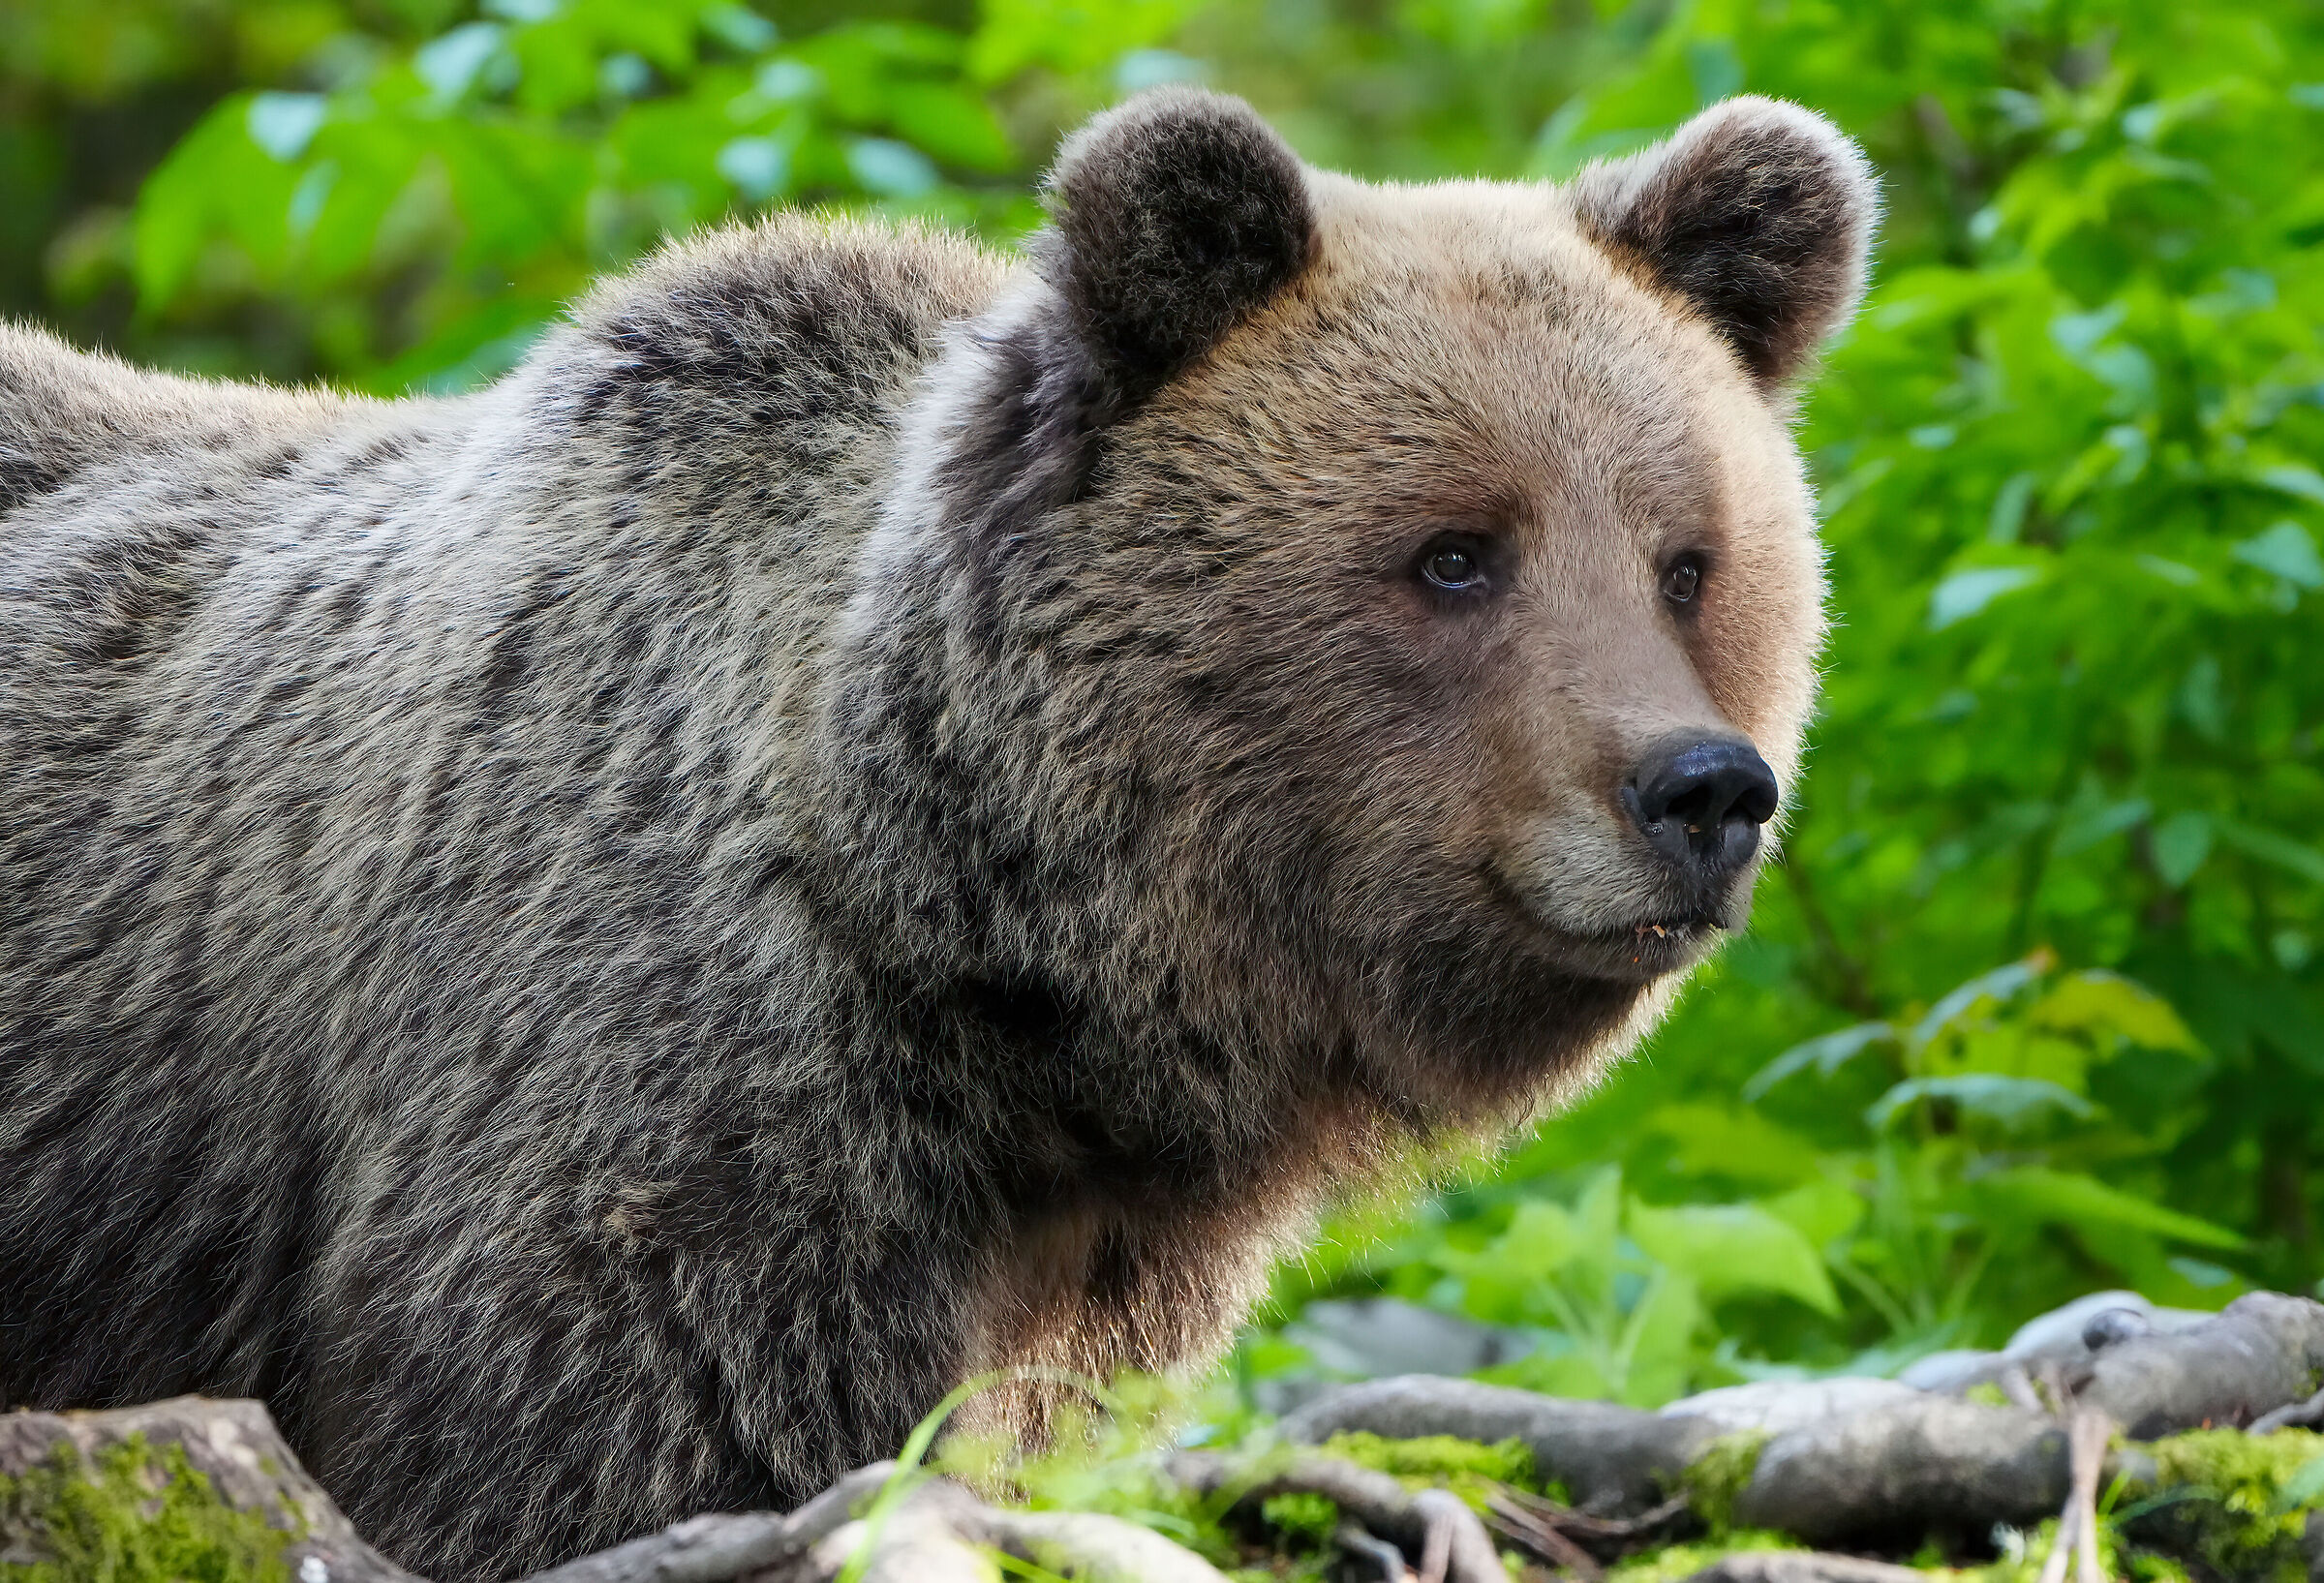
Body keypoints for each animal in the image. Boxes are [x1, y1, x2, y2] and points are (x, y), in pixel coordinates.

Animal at [0, 88, 1873, 1580]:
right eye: (1457, 552)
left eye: (1687, 559)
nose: (1702, 791)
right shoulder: (642, 1112)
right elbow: (584, 1452)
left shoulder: (1052, 1284)